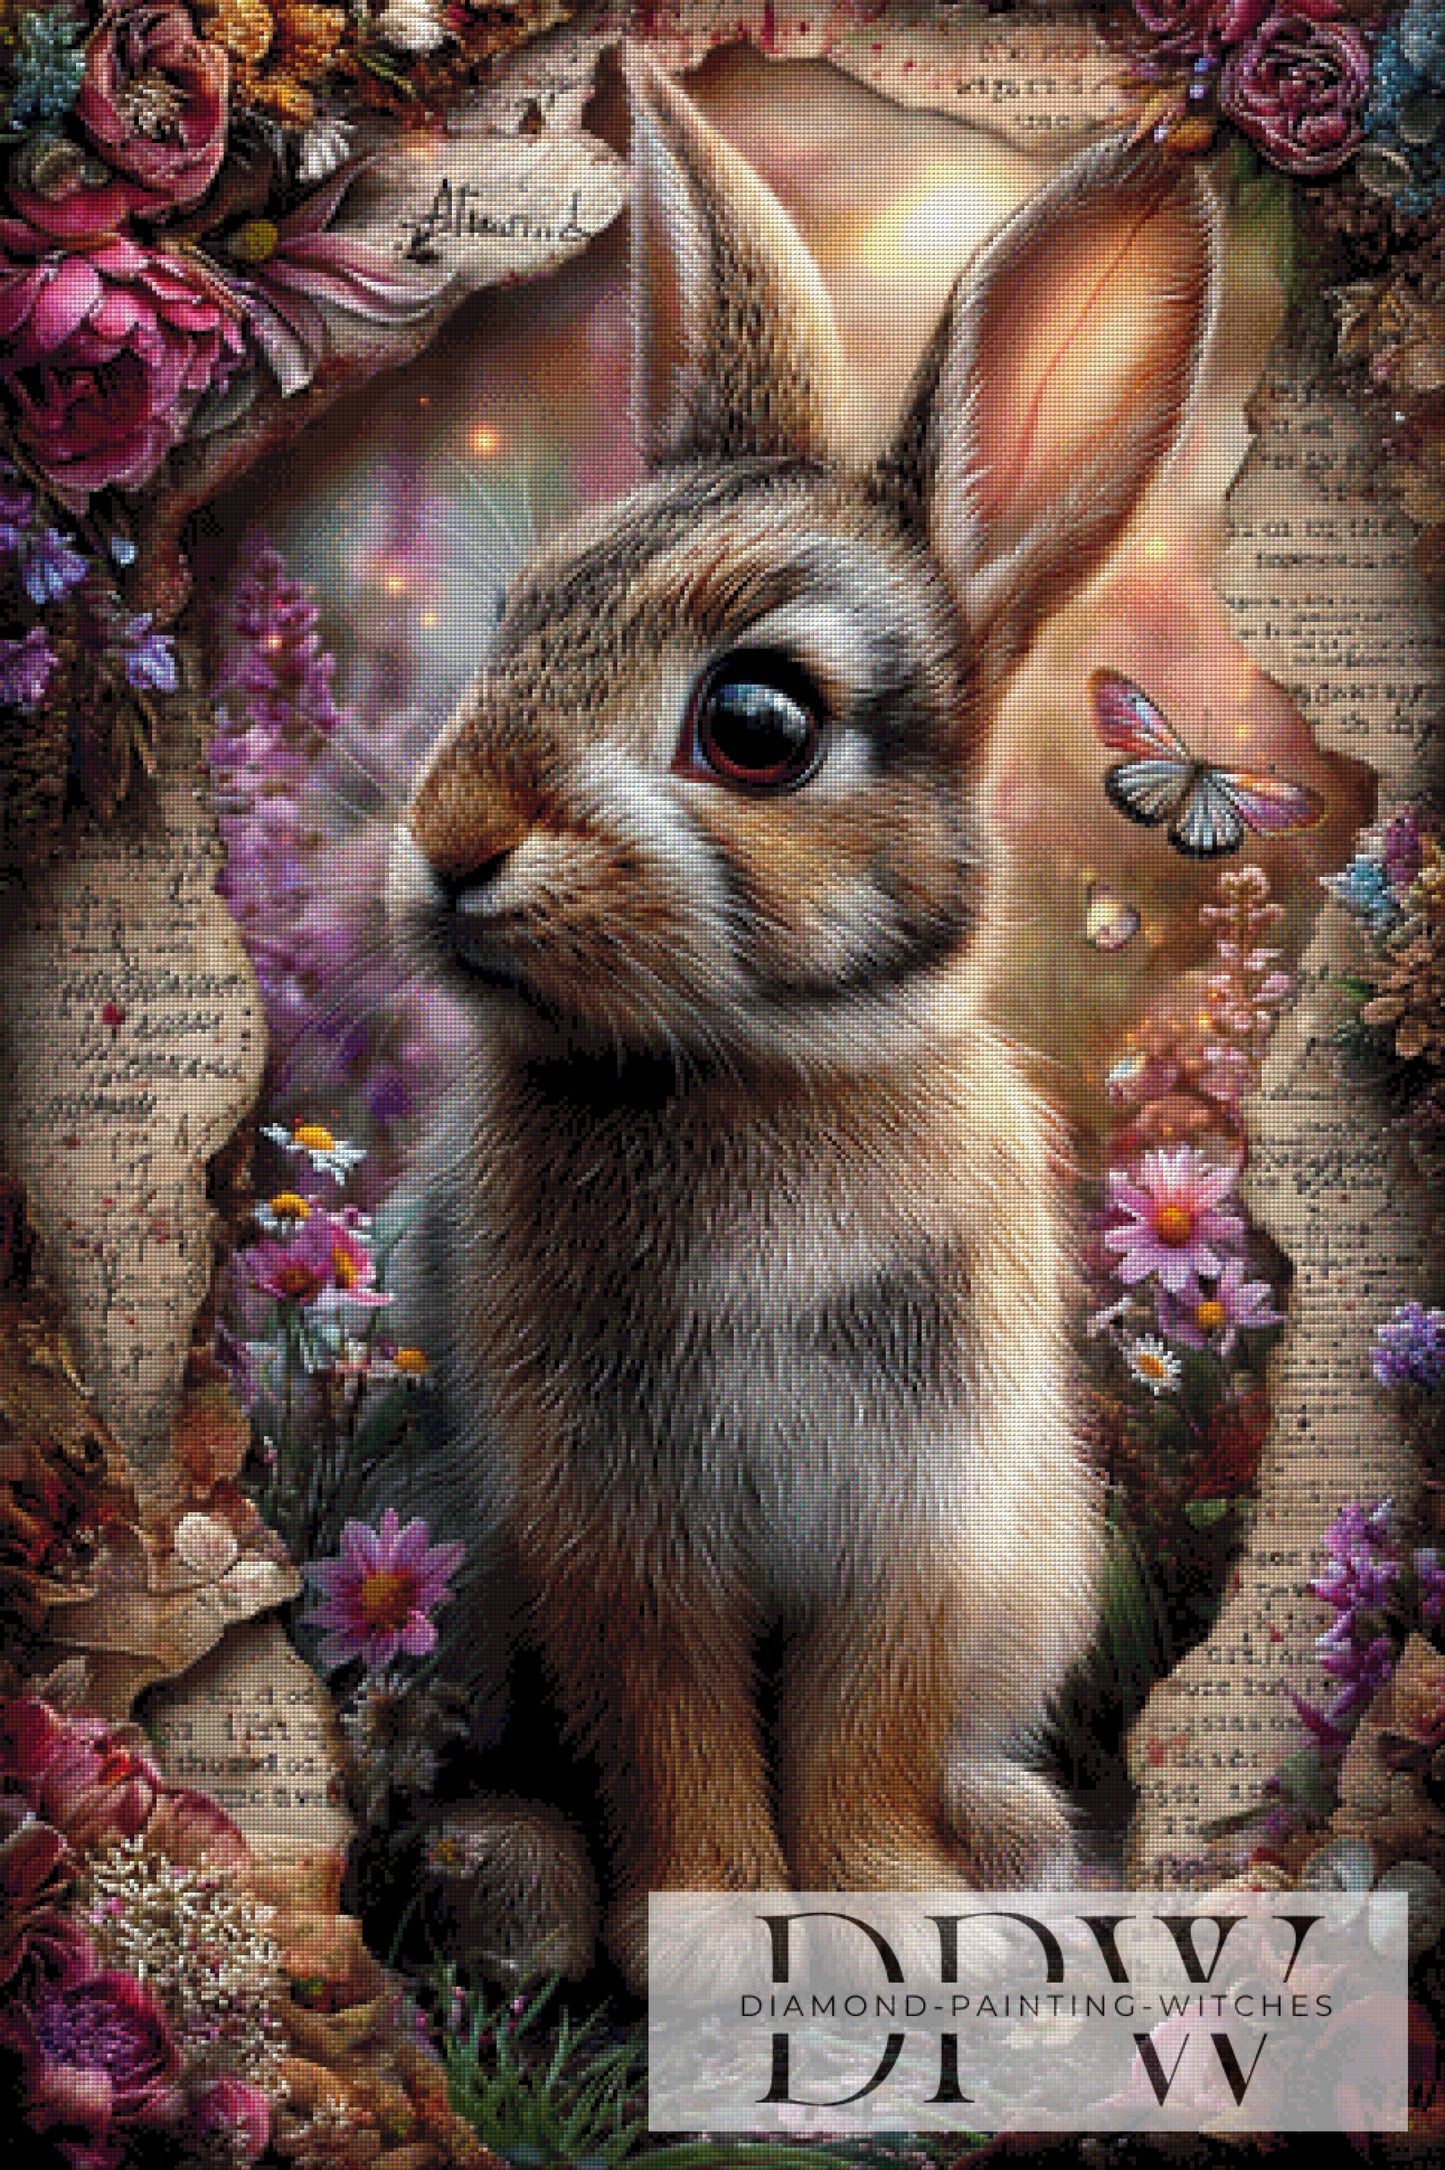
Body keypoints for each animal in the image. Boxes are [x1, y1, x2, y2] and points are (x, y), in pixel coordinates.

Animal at [384, 46, 1220, 1994]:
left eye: (757, 723)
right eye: (515, 619)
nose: (450, 845)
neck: (756, 1070)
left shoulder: (918, 1515)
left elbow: (859, 1719)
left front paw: (891, 1909)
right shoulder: (612, 1525)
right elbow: (671, 1719)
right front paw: (700, 1932)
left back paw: (1008, 1834)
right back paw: (510, 1886)